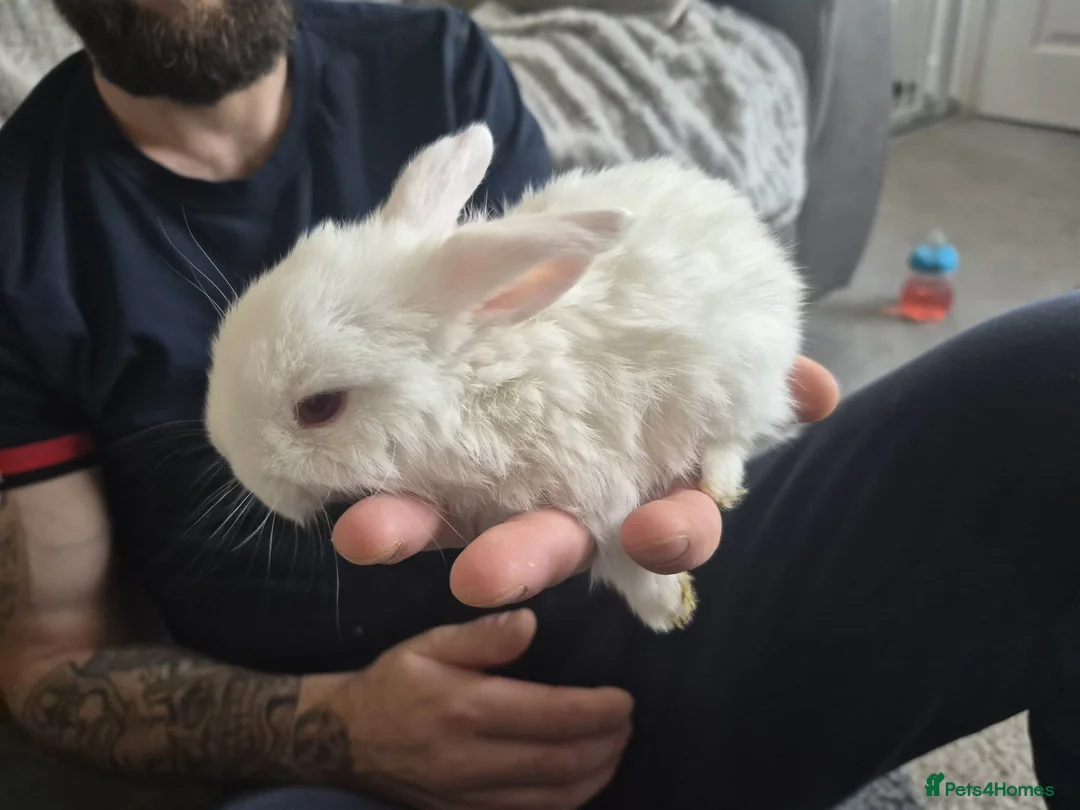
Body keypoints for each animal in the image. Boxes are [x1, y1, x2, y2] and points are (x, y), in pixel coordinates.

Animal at [203, 122, 806, 633]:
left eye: (320, 408)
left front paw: (666, 608)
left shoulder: (593, 471)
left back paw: (719, 484)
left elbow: (617, 539)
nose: (247, 475)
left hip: (744, 377)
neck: (479, 384)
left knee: (734, 436)